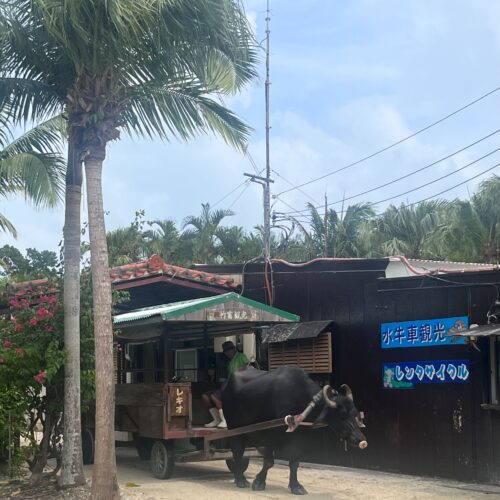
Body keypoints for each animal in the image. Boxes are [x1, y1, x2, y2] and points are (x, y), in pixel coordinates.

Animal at [223, 366, 368, 494]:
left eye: (354, 413)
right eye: (342, 414)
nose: (361, 440)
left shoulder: (300, 437)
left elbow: (294, 463)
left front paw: (296, 486)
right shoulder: (270, 435)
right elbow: (269, 461)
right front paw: (259, 482)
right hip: (234, 428)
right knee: (237, 452)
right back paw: (240, 479)